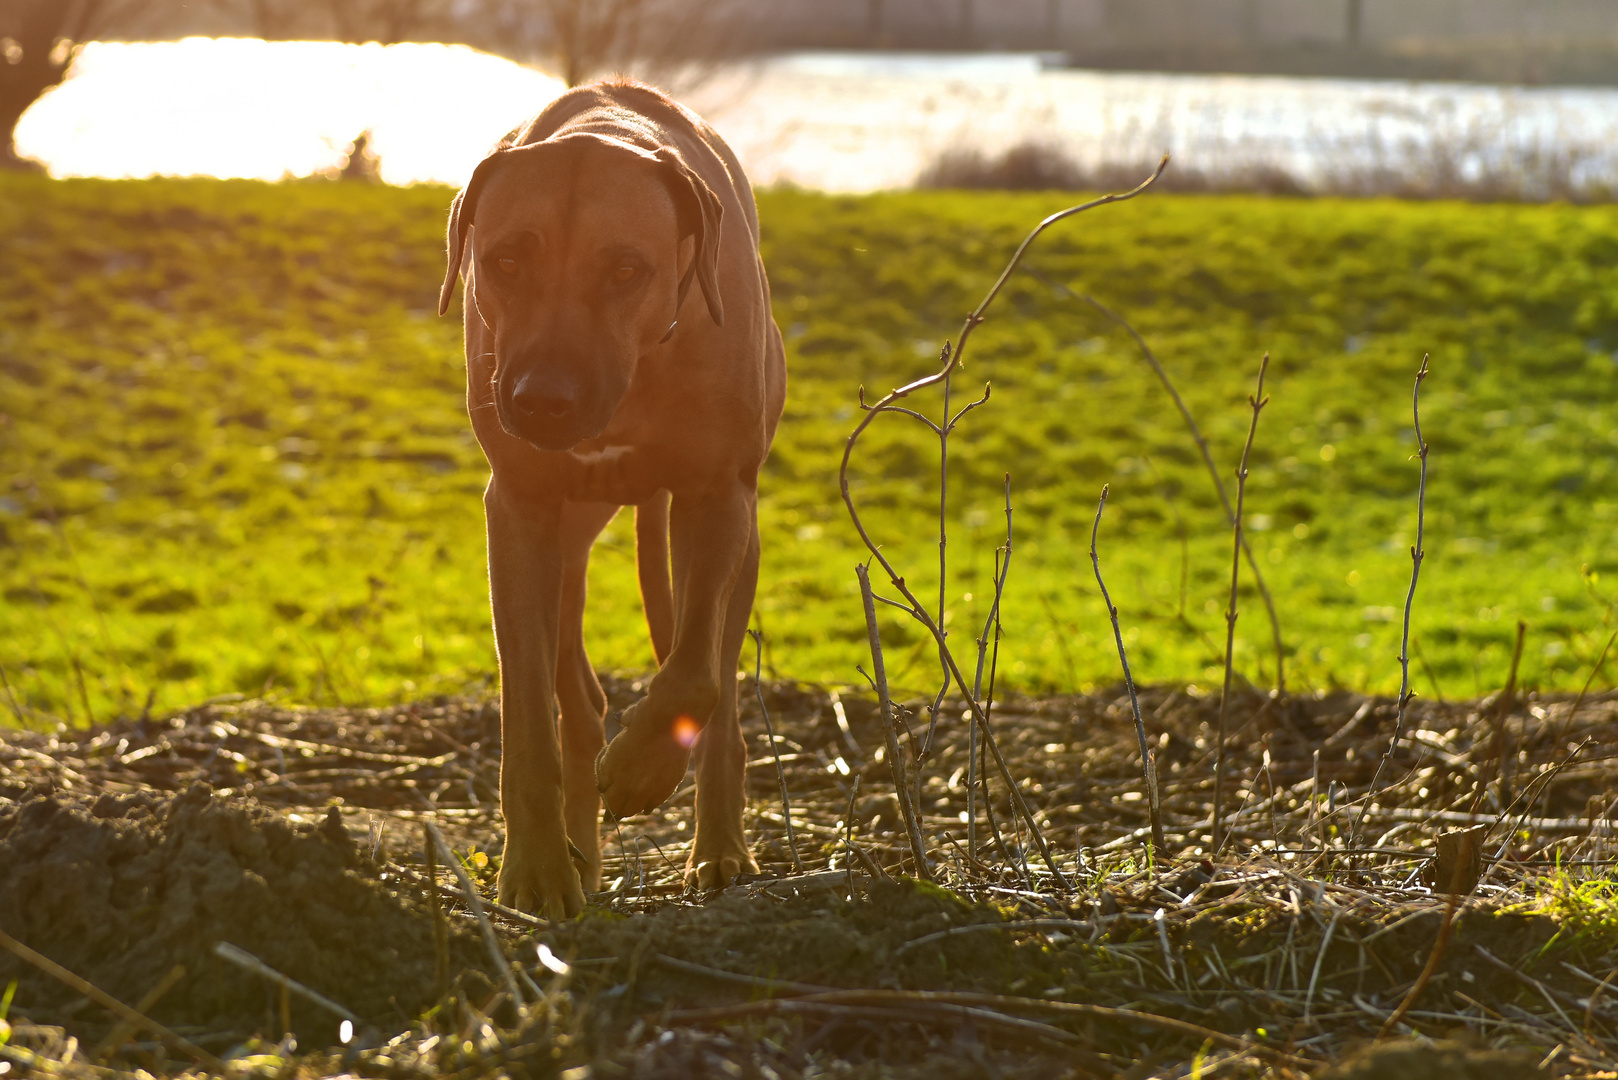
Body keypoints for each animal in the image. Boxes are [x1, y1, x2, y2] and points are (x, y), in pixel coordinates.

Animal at [436, 80, 789, 919]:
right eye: (504, 260)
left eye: (627, 269)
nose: (542, 402)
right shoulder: (519, 508)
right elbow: (529, 719)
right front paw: (536, 869)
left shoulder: (717, 495)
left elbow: (693, 672)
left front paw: (641, 769)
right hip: (566, 535)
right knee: (576, 694)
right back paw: (582, 854)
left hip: (733, 539)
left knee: (720, 692)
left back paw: (719, 849)